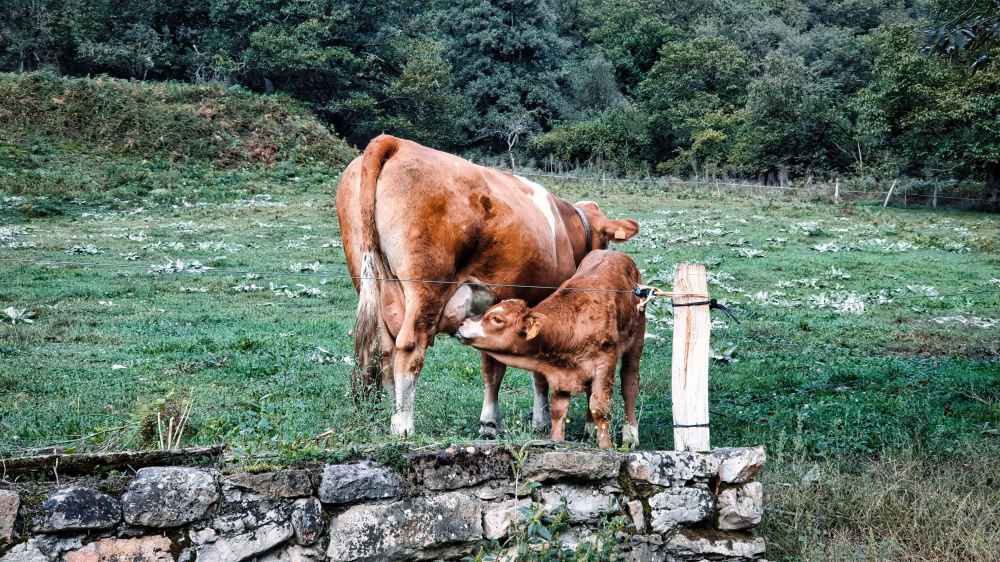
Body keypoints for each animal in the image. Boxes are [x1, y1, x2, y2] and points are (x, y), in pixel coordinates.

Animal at [455, 250, 645, 449]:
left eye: (497, 319)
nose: (462, 323)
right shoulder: (561, 375)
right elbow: (558, 410)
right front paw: (556, 441)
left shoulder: (604, 364)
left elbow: (599, 407)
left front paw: (606, 447)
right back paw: (589, 429)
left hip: (636, 341)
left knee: (630, 384)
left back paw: (631, 434)